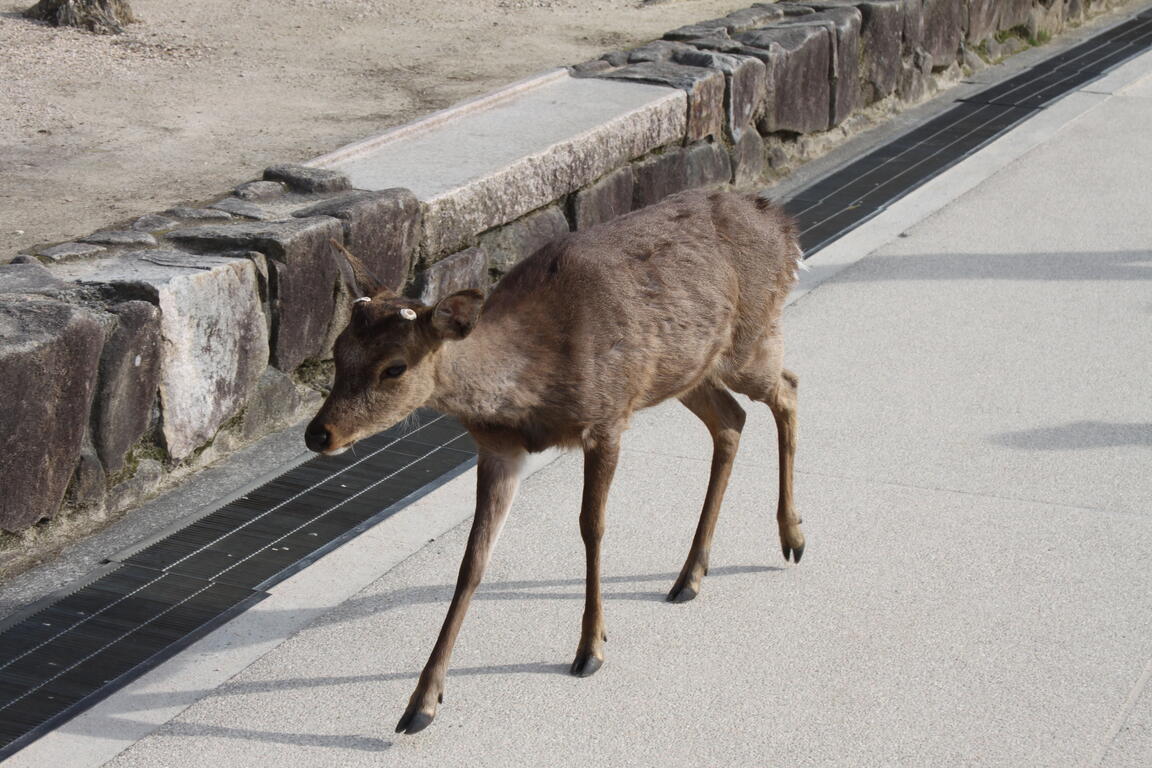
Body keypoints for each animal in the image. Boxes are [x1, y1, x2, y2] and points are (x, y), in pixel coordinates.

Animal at [306, 188, 811, 736]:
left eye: (395, 367)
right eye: (339, 350)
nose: (318, 434)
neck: (535, 380)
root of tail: (783, 223)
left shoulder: (607, 417)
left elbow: (592, 526)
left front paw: (590, 649)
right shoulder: (498, 450)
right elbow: (473, 561)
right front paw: (421, 703)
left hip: (750, 339)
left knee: (787, 389)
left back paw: (792, 537)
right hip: (686, 370)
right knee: (732, 420)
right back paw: (690, 575)